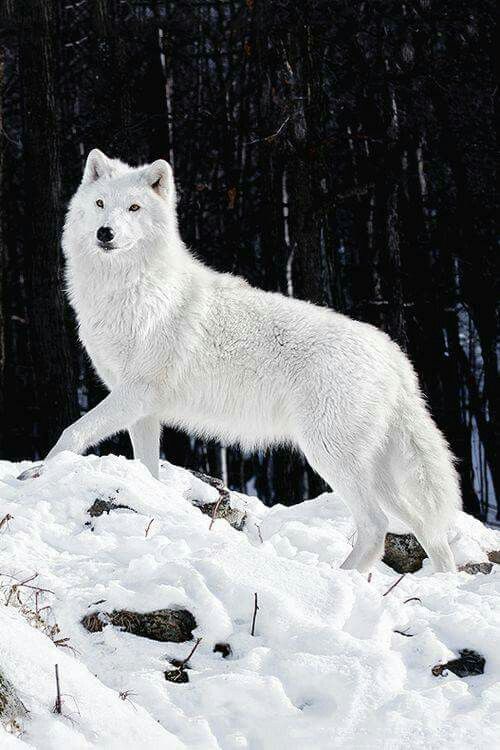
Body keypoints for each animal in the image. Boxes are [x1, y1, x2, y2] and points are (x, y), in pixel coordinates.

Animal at [43, 150, 460, 572]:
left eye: (134, 208)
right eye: (100, 204)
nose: (105, 233)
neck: (128, 290)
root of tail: (394, 355)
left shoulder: (136, 393)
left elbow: (70, 434)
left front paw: (41, 474)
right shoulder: (142, 410)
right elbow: (147, 469)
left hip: (330, 455)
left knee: (376, 527)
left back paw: (340, 577)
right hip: (375, 472)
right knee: (429, 531)